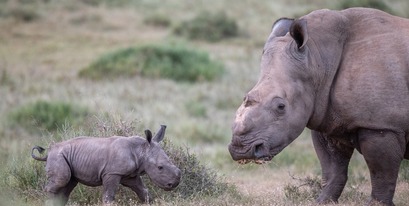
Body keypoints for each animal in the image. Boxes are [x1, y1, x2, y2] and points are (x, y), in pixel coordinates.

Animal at [30, 124, 180, 205]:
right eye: (160, 167)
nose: (173, 184)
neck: (141, 150)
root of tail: (48, 152)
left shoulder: (131, 175)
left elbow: (143, 192)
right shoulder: (112, 173)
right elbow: (109, 196)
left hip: (65, 158)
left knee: (68, 184)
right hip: (58, 156)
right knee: (62, 180)